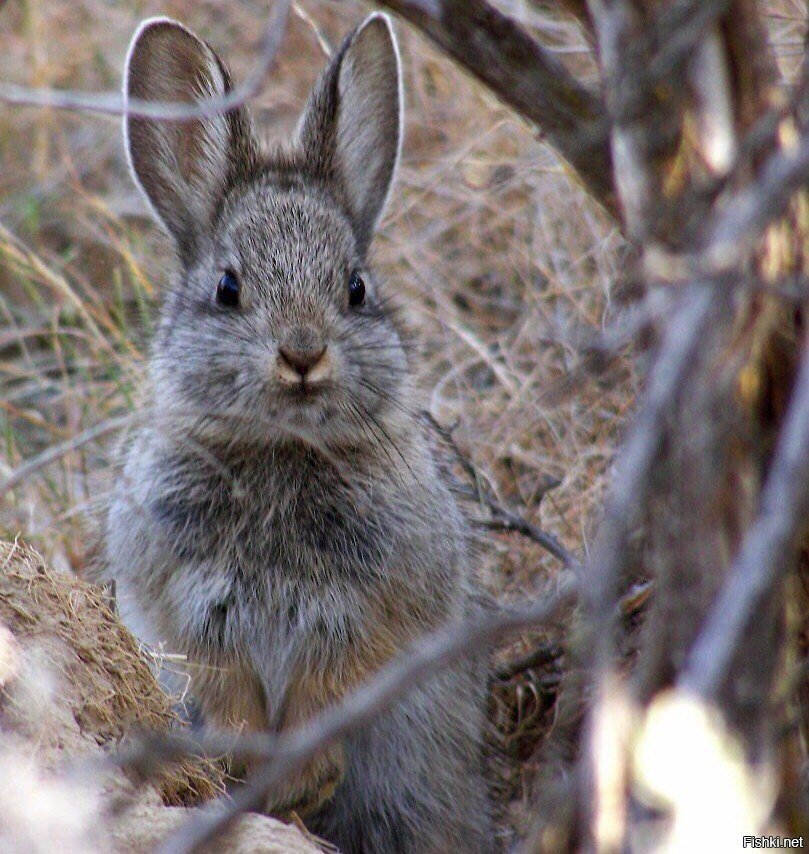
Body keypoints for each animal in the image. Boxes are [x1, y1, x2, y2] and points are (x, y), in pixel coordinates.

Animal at [98, 13, 496, 854]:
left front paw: (303, 778)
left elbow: (335, 685)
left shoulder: (375, 606)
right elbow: (225, 686)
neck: (282, 448)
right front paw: (259, 775)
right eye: (228, 288)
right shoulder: (183, 603)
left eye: (355, 287)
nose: (304, 354)